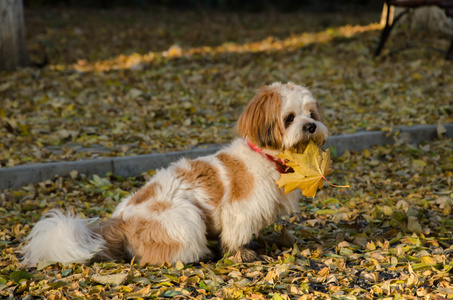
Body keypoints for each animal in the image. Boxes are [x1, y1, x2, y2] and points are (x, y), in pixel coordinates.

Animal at [23, 81, 326, 264]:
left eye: (312, 114)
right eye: (289, 118)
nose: (311, 126)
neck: (266, 156)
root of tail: (122, 221)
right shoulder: (239, 211)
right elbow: (236, 235)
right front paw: (242, 253)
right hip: (185, 218)